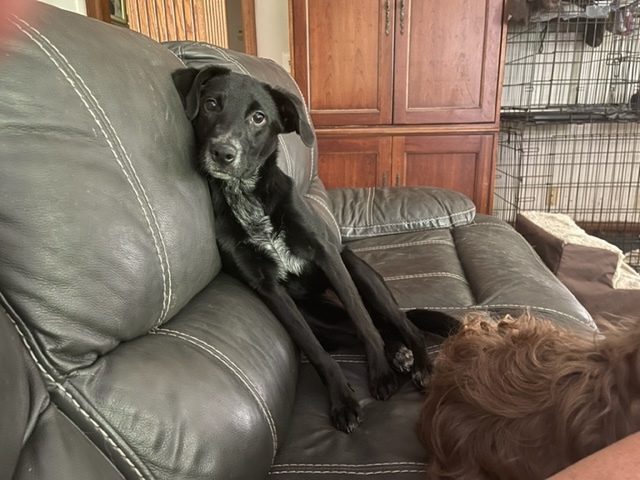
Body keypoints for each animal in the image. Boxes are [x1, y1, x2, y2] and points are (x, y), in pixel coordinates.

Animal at [171, 66, 450, 432]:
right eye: (211, 104)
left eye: (259, 117)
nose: (223, 153)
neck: (247, 195)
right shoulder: (270, 289)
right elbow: (317, 352)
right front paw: (343, 400)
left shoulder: (328, 257)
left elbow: (364, 323)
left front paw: (379, 375)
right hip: (322, 318)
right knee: (374, 328)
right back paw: (397, 352)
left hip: (358, 272)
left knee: (396, 323)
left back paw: (418, 362)